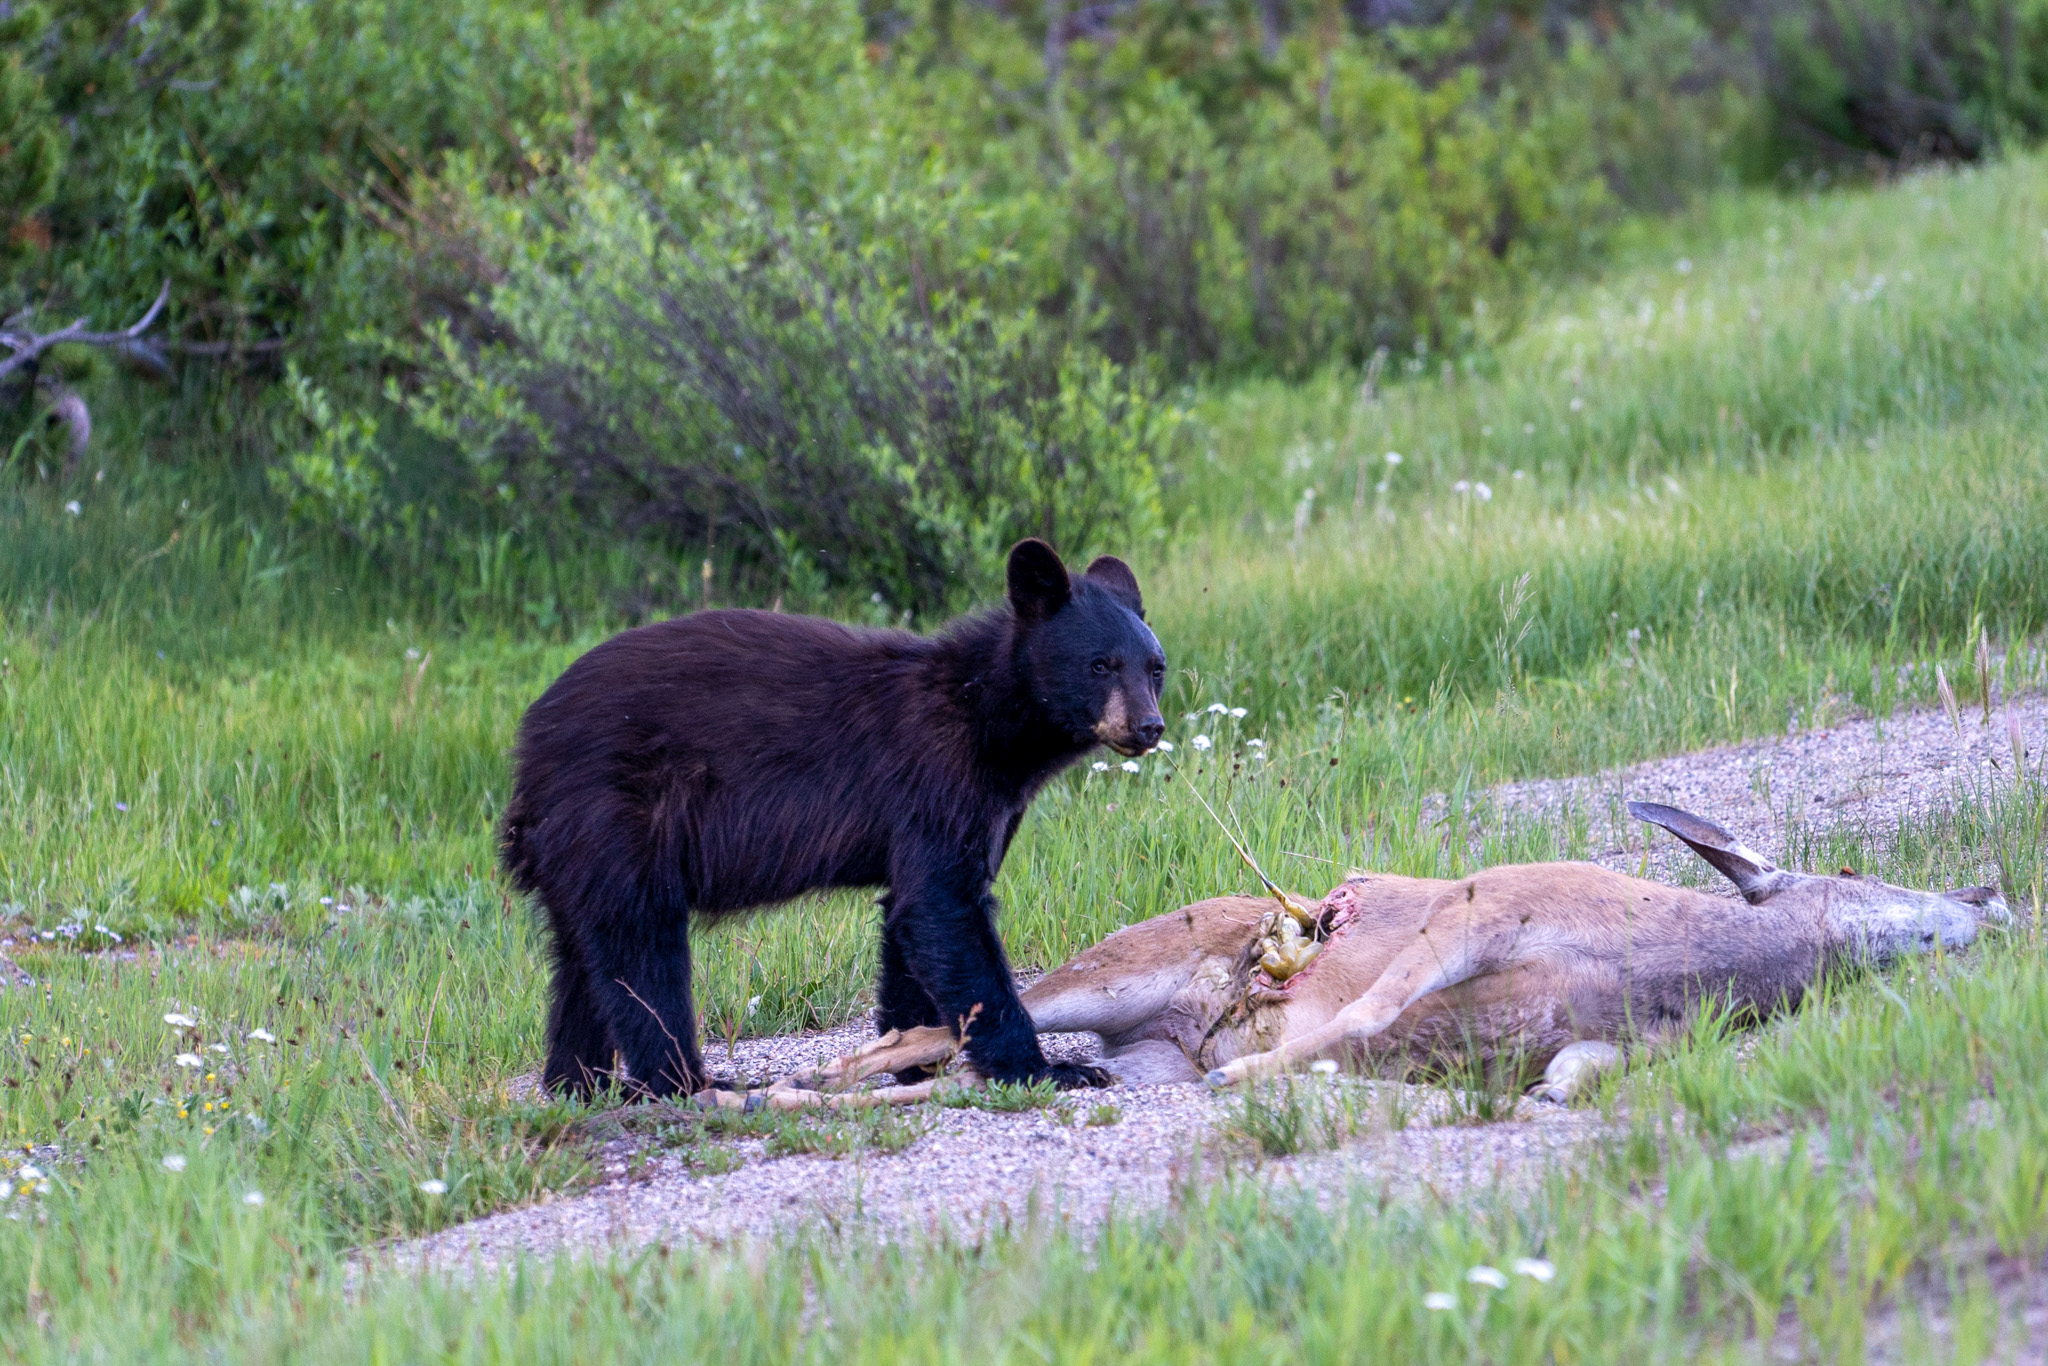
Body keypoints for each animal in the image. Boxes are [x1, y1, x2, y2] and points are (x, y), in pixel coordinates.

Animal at [501, 540, 1163, 1097]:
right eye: (1101, 665)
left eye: (1154, 667)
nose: (1148, 726)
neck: (986, 715)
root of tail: (527, 749)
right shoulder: (937, 779)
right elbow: (943, 908)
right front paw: (1049, 1068)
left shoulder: (985, 805)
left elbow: (911, 922)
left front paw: (914, 1057)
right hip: (621, 815)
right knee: (641, 948)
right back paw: (687, 1082)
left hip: (578, 849)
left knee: (581, 960)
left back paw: (578, 1085)